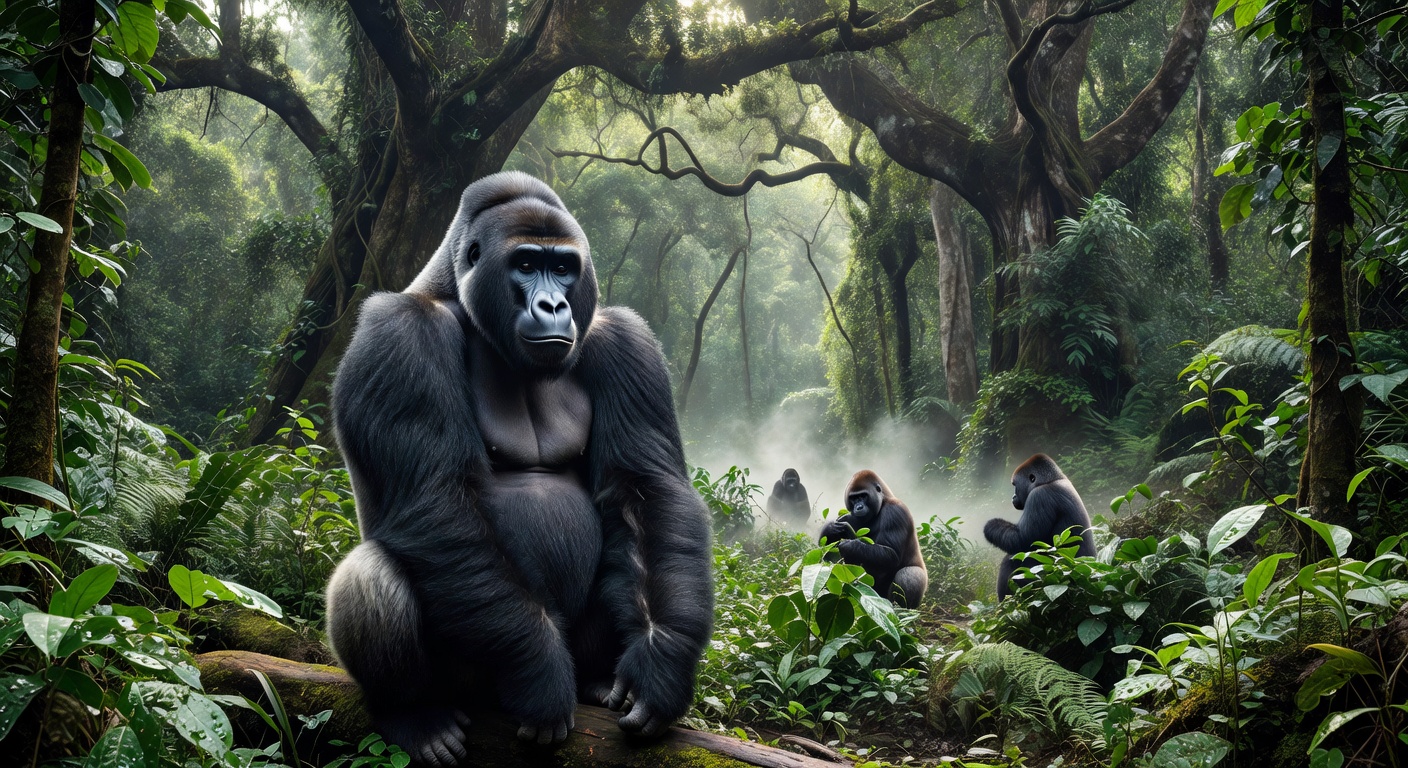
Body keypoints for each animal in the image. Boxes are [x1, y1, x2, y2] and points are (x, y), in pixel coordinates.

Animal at [324, 172, 713, 766]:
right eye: (526, 264)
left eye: (564, 267)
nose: (554, 304)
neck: (456, 296)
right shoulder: (401, 332)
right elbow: (439, 496)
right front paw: (538, 671)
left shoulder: (623, 338)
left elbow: (644, 490)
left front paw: (659, 663)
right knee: (371, 574)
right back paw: (413, 713)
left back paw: (598, 678)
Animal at [818, 470, 927, 608]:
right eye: (853, 498)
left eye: (863, 496)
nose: (858, 507)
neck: (884, 500)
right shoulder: (847, 517)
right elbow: (825, 553)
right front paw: (830, 528)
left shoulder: (895, 511)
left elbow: (891, 554)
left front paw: (849, 546)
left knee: (909, 574)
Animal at [984, 453, 1096, 600]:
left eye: (1015, 485)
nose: (1013, 497)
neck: (1050, 480)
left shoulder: (1039, 496)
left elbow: (1022, 541)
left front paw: (990, 526)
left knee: (1012, 560)